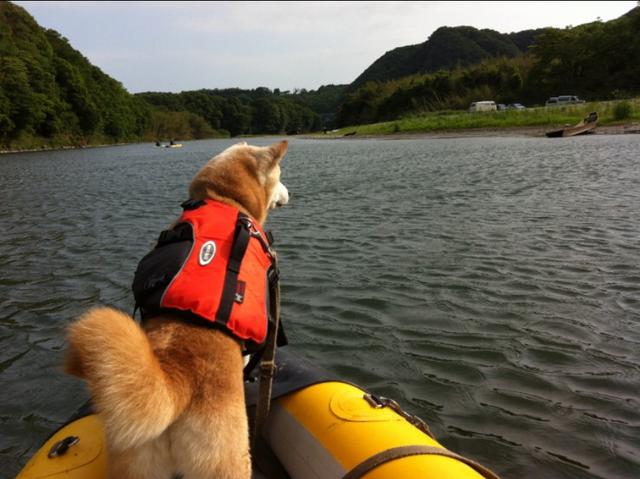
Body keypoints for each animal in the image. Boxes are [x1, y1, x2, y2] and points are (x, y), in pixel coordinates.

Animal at [65, 141, 290, 478]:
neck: (223, 200)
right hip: (227, 461)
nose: (290, 193)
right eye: (280, 175)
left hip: (137, 464)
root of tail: (174, 382)